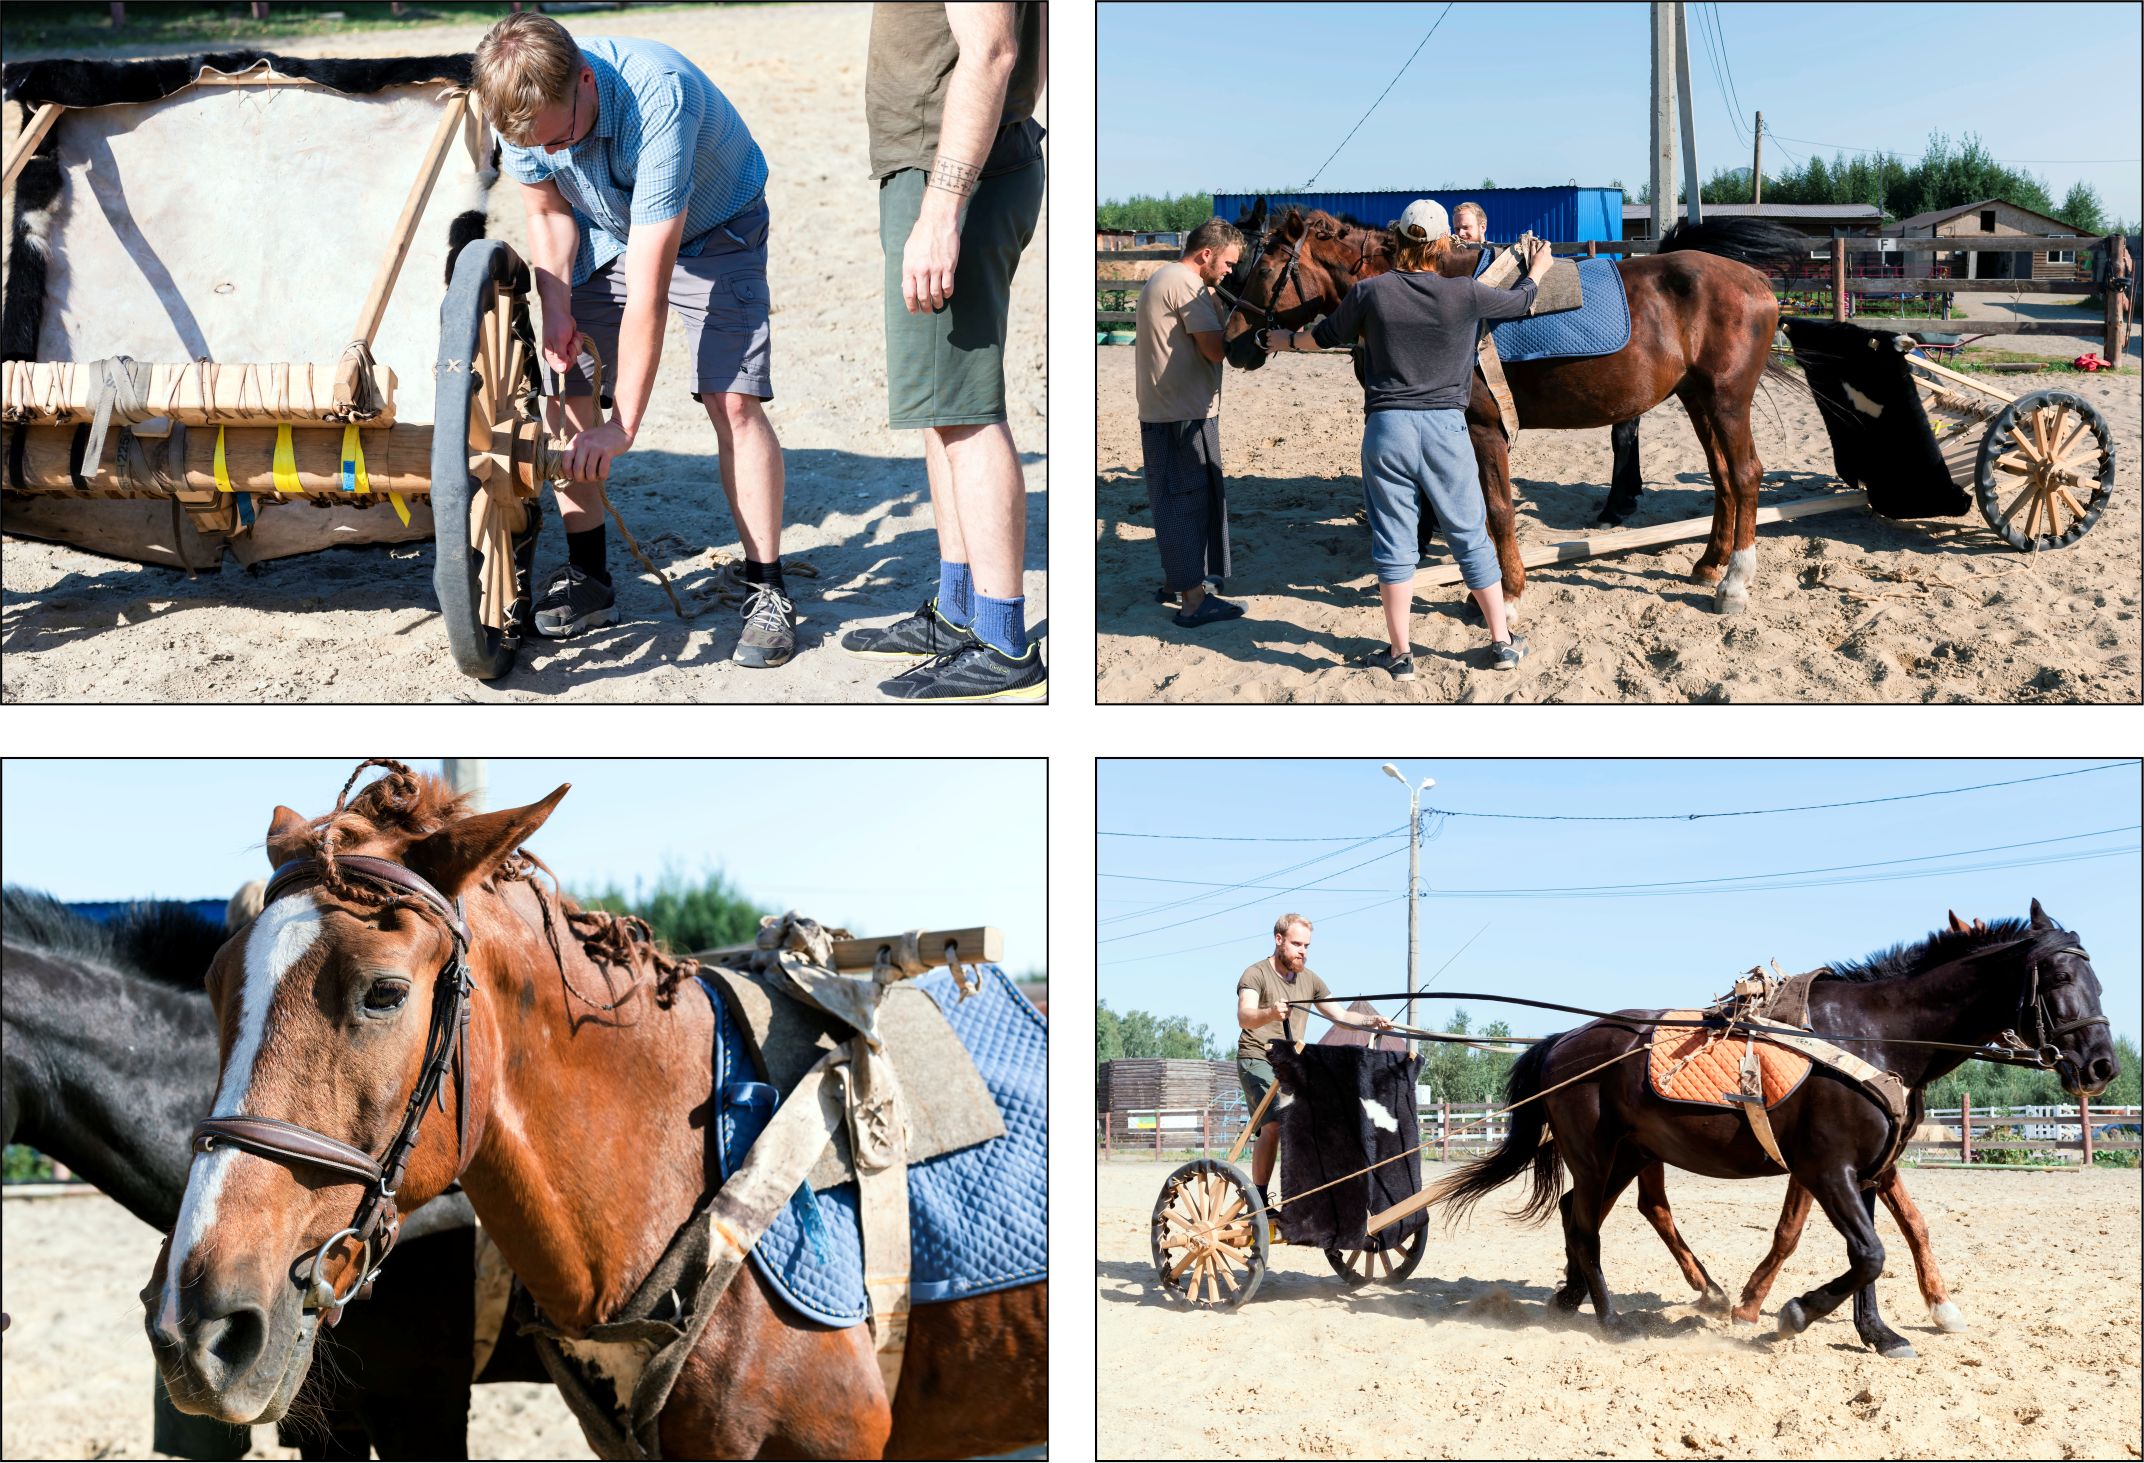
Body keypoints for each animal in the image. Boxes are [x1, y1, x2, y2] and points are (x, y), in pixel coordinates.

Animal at [1217, 200, 1800, 609]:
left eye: (1262, 271)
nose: (1234, 344)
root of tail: (1753, 280)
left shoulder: (1483, 427)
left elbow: (1496, 509)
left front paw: (1508, 594)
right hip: (1697, 399)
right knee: (1723, 479)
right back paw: (1709, 563)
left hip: (1726, 401)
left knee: (1746, 474)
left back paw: (1734, 584)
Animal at [1423, 900, 2109, 1355]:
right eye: (2060, 978)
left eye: (2095, 978)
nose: (2102, 1065)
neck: (1873, 1037)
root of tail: (1565, 1039)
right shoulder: (1826, 1170)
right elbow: (1864, 1251)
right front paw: (1793, 1312)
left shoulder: (1864, 1172)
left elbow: (1873, 1251)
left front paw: (1879, 1333)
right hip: (1595, 1156)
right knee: (1588, 1224)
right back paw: (1611, 1317)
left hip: (1626, 1155)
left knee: (1582, 1213)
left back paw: (1584, 1299)